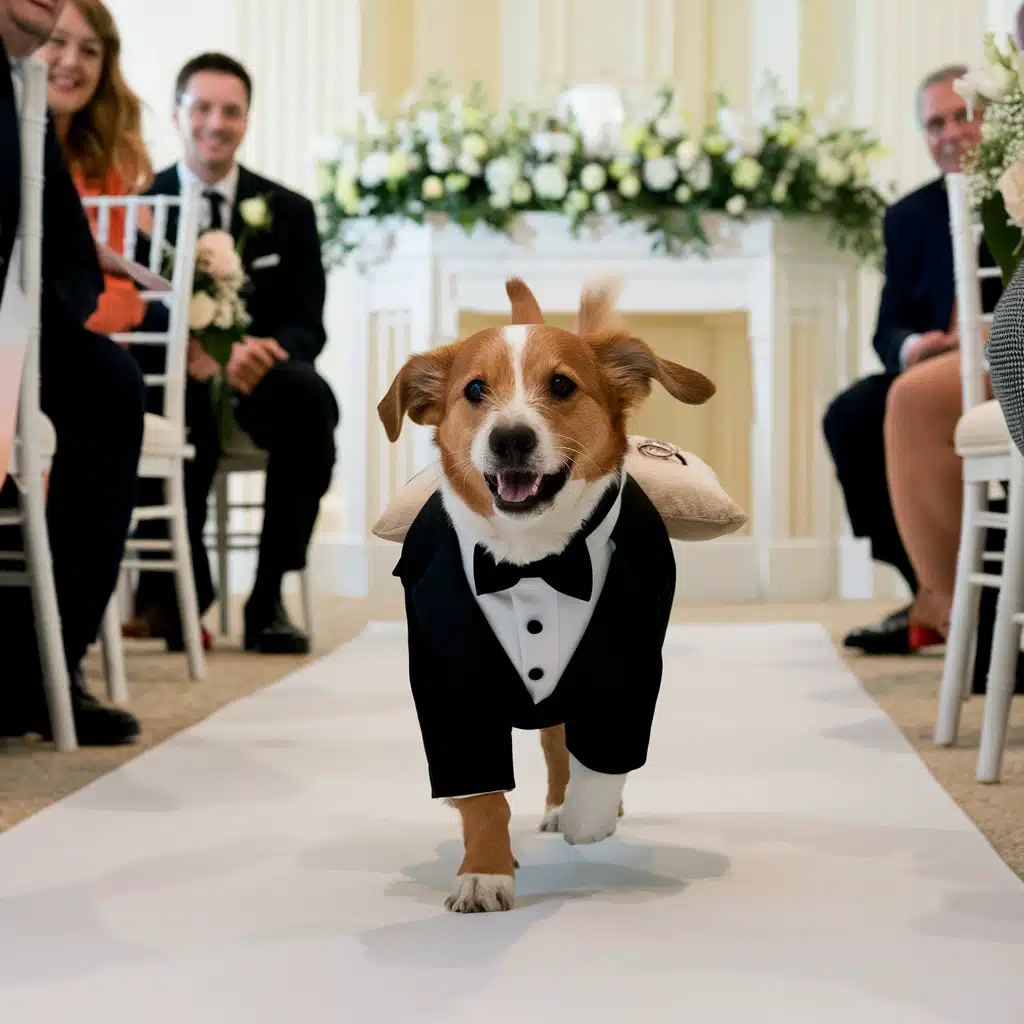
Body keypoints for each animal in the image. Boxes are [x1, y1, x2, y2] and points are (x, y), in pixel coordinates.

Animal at [376, 274, 712, 913]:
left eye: (561, 385)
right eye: (474, 390)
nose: (510, 438)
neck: (534, 561)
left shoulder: (628, 668)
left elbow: (602, 759)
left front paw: (588, 818)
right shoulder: (448, 683)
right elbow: (481, 794)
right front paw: (484, 871)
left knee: (565, 747)